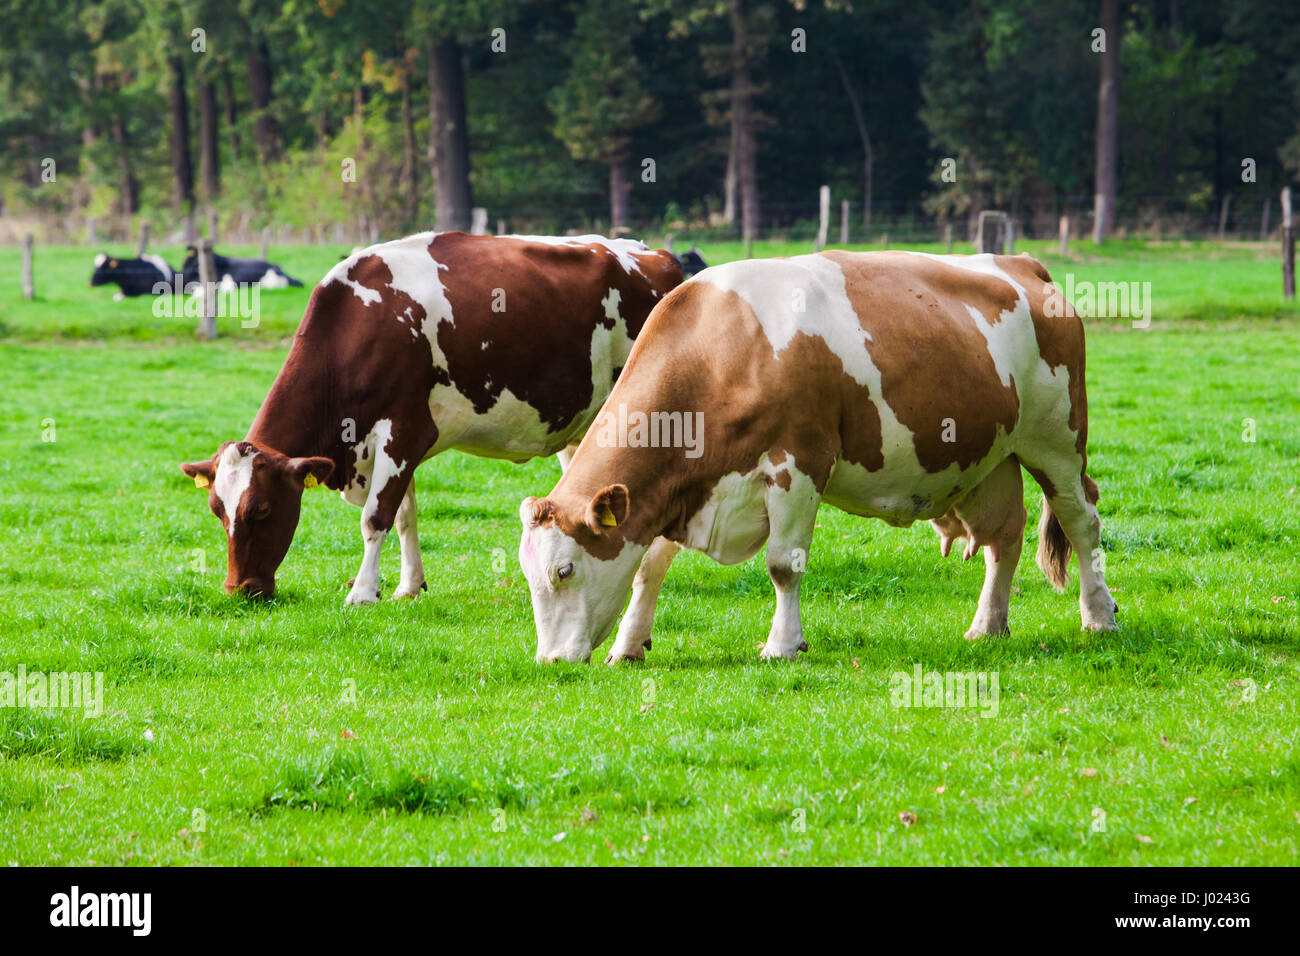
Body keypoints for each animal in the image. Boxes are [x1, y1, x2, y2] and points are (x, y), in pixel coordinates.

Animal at [180, 231, 685, 607]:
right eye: (217, 509)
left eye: (262, 509)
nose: (240, 590)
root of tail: (656, 255)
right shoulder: (390, 444)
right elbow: (405, 516)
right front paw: (407, 586)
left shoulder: (403, 430)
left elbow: (376, 517)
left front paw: (362, 593)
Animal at [518, 250, 1118, 664]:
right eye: (528, 573)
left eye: (564, 570)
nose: (551, 661)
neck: (723, 348)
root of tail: (1020, 264)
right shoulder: (682, 488)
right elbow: (647, 568)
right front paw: (629, 645)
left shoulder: (798, 464)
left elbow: (783, 566)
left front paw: (782, 645)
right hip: (993, 460)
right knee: (1004, 537)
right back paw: (988, 624)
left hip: (1057, 441)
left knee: (1081, 519)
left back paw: (1098, 616)